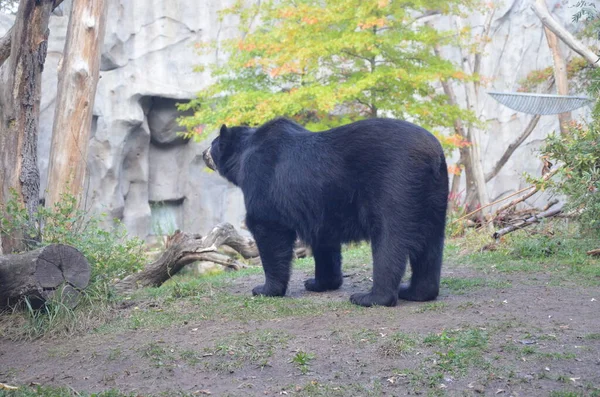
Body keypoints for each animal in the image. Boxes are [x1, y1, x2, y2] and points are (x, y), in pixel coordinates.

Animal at [204, 117, 448, 306]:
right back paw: (416, 291)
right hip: (434, 196)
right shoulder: (320, 205)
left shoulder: (262, 178)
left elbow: (268, 228)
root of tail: (433, 154)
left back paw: (370, 297)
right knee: (431, 244)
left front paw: (265, 289)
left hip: (395, 185)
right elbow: (324, 240)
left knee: (389, 241)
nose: (204, 153)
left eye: (213, 143)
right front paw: (318, 283)